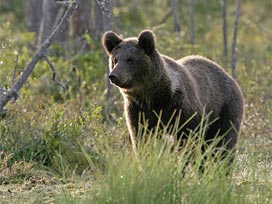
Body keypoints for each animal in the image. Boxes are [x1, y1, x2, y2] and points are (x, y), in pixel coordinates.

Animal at [101, 29, 243, 163]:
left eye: (130, 59)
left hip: (225, 109)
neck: (152, 96)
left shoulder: (182, 108)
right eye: (115, 60)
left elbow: (190, 139)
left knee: (224, 142)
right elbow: (142, 137)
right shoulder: (138, 110)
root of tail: (228, 75)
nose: (113, 75)